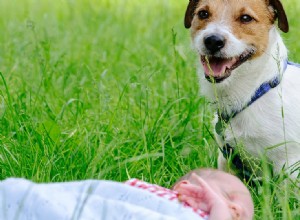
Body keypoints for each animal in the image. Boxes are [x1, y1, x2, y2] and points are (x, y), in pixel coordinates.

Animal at [184, 0, 298, 180]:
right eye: (203, 14)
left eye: (246, 18)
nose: (213, 40)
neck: (253, 94)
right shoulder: (227, 160)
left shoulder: (288, 164)